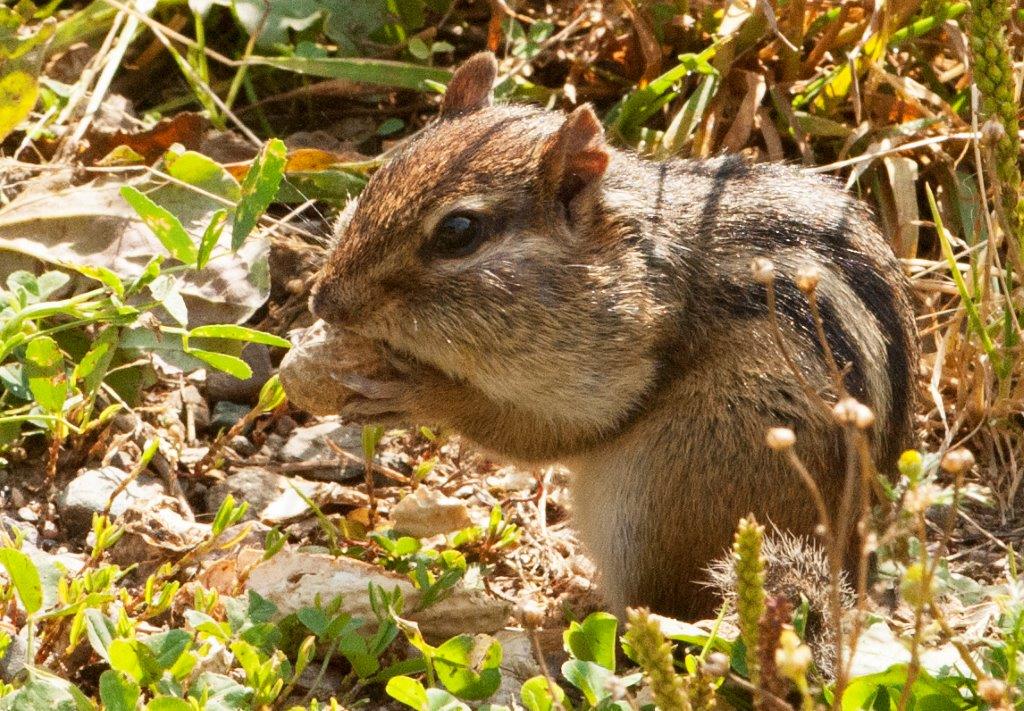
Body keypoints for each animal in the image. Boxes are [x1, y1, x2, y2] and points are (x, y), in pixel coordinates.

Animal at [282, 52, 918, 619]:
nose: (323, 300)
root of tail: (845, 565)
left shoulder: (610, 370)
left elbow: (544, 431)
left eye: (459, 232)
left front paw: (418, 391)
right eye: (379, 176)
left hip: (660, 499)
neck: (621, 251)